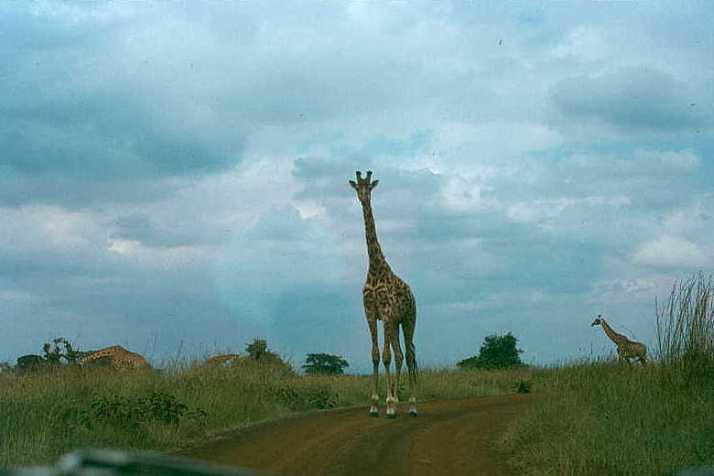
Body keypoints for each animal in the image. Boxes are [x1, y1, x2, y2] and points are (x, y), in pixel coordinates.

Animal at [350, 170, 418, 418]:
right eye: (357, 187)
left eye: (369, 187)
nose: (363, 197)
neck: (375, 268)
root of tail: (412, 294)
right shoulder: (371, 313)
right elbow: (376, 355)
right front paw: (374, 404)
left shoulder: (387, 313)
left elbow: (386, 356)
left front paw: (389, 404)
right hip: (396, 324)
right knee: (401, 355)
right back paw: (401, 400)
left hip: (408, 319)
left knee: (409, 354)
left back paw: (412, 405)